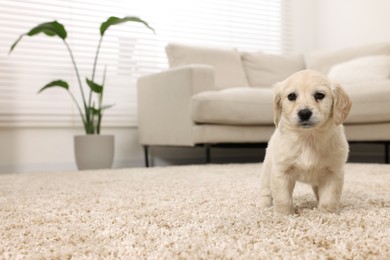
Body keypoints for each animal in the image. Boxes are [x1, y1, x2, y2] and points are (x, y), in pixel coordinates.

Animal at [258, 69, 354, 215]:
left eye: (319, 95)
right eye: (291, 96)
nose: (304, 113)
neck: (308, 138)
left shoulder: (333, 172)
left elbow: (328, 199)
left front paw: (326, 214)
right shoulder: (281, 172)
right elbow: (283, 198)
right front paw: (284, 215)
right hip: (268, 168)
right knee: (266, 191)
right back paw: (263, 205)